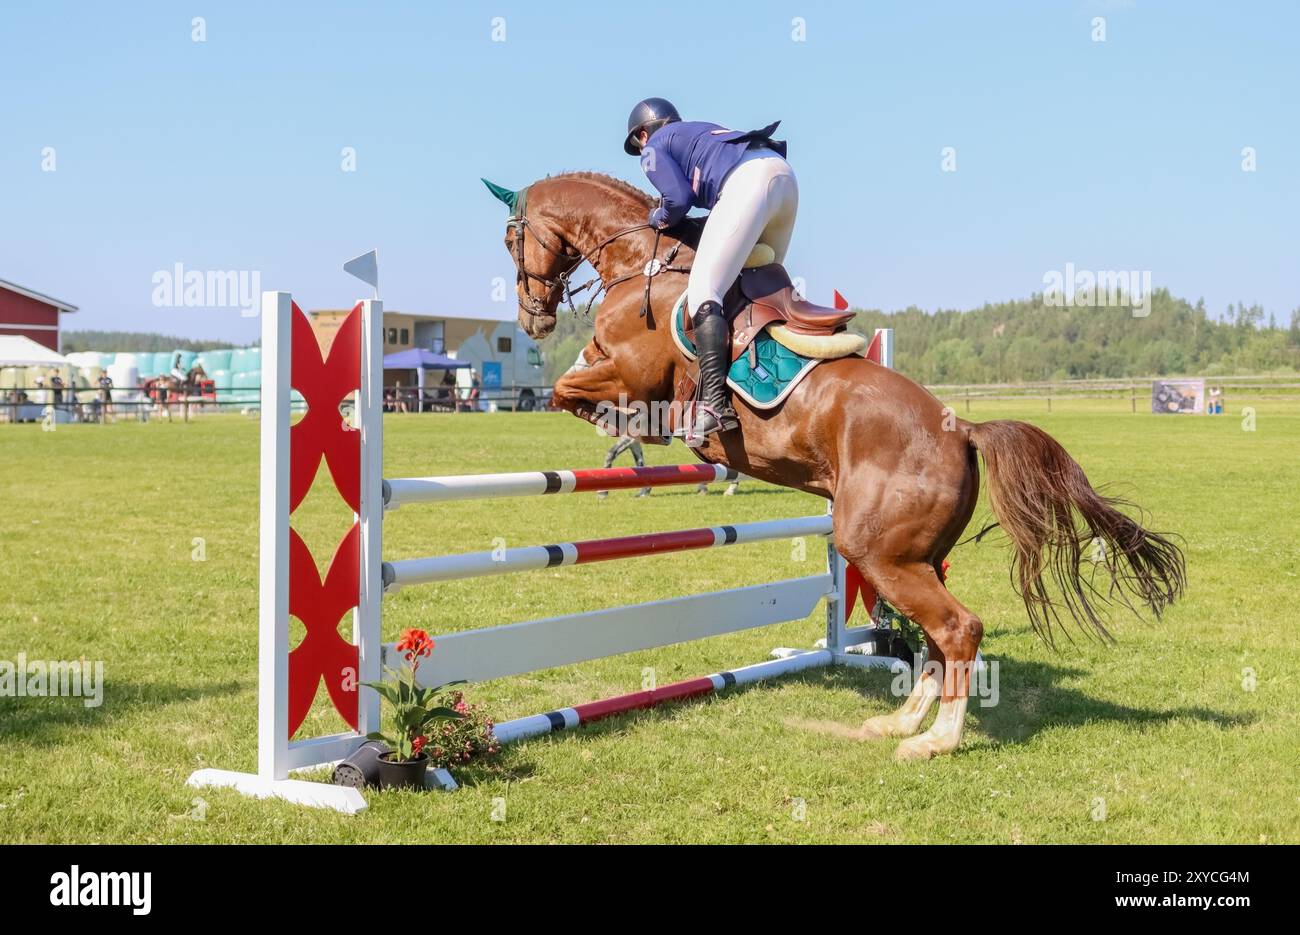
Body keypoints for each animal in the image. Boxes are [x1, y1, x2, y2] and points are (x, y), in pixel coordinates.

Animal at [486, 171, 1180, 759]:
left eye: (511, 237)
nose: (531, 318)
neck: (642, 265)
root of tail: (960, 429)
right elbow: (573, 384)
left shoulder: (633, 371)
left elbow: (570, 391)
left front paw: (630, 426)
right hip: (911, 557)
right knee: (936, 637)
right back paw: (899, 721)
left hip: (876, 551)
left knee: (958, 628)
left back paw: (935, 741)